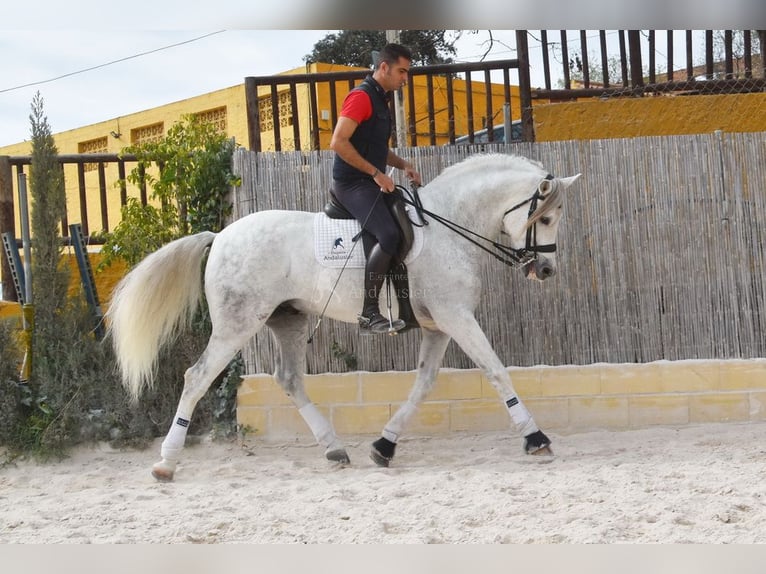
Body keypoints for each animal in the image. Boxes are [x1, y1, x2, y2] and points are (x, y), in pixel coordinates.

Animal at [106, 153, 581, 481]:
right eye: (547, 217)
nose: (545, 270)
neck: (448, 227)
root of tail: (220, 234)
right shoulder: (456, 317)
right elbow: (497, 371)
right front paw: (536, 438)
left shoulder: (439, 325)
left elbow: (424, 384)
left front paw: (384, 446)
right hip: (238, 324)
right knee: (198, 377)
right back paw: (167, 462)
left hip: (289, 319)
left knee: (289, 379)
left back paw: (335, 449)